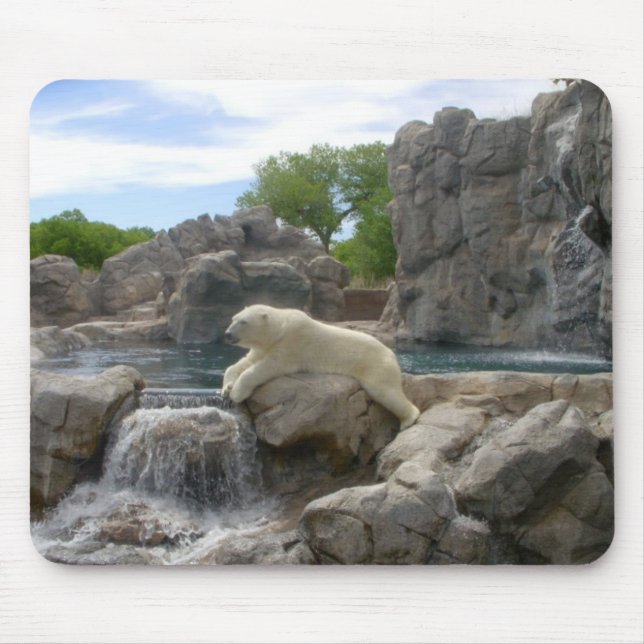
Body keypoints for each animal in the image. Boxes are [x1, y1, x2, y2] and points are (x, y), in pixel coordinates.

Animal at [222, 304, 420, 430]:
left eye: (244, 322)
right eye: (233, 318)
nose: (227, 334)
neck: (279, 329)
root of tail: (392, 354)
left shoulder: (291, 343)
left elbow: (268, 366)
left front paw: (236, 393)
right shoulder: (263, 347)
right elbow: (243, 363)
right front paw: (226, 388)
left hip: (375, 365)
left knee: (385, 392)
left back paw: (408, 420)